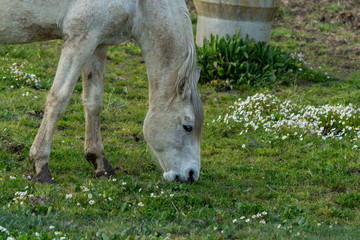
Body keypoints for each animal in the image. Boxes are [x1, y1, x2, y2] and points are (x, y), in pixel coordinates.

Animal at [0, 0, 202, 184]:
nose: (192, 174)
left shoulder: (98, 43)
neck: (140, 4)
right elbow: (59, 98)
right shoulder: (80, 40)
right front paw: (41, 166)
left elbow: (94, 101)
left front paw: (100, 163)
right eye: (188, 126)